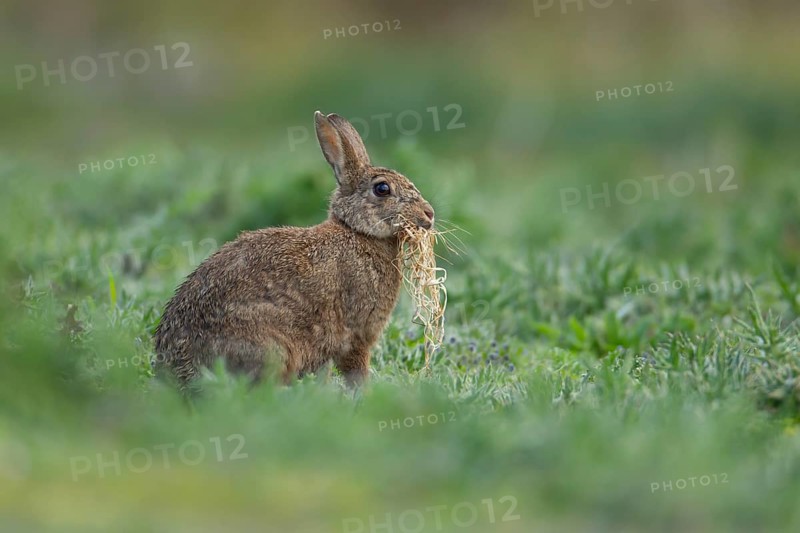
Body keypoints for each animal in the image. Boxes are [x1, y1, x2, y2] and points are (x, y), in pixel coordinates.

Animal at [153, 111, 435, 387]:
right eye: (382, 188)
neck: (357, 232)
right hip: (270, 346)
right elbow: (355, 368)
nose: (429, 214)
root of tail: (176, 368)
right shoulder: (357, 332)